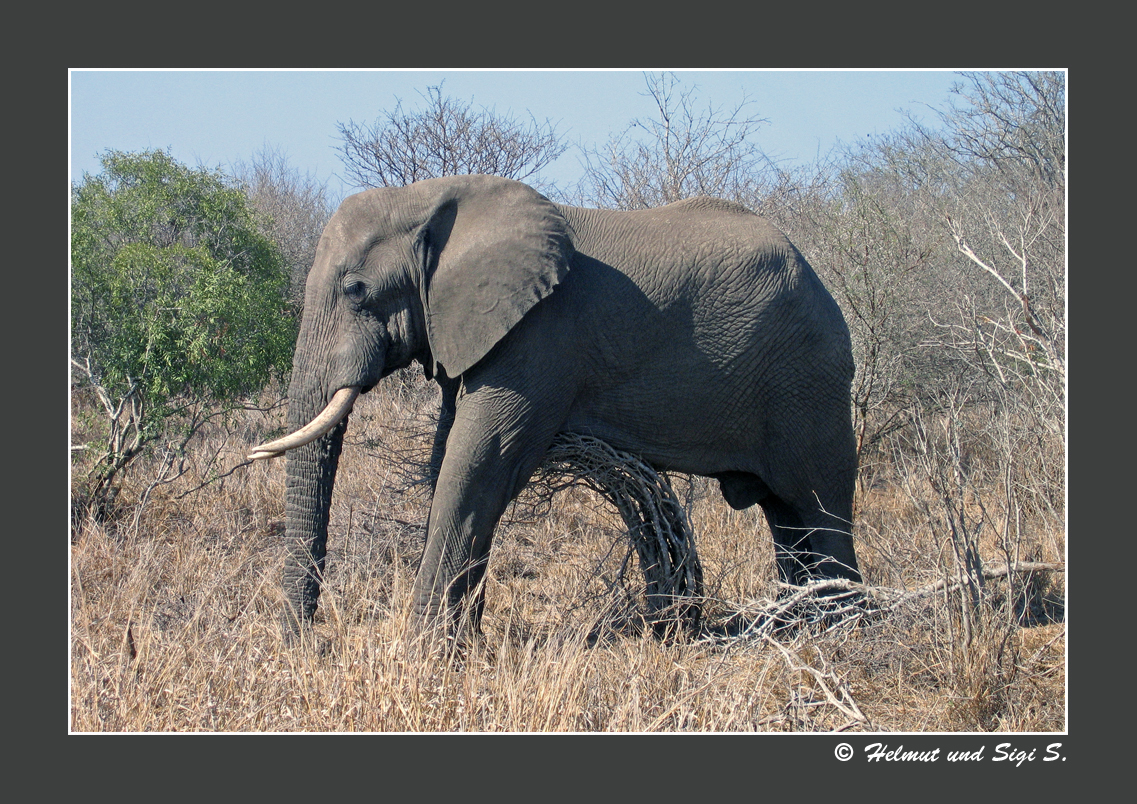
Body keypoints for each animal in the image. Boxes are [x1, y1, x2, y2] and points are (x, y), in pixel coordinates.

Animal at [251, 172, 859, 636]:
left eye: (354, 290)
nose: (306, 643)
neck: (428, 196)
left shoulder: (538, 337)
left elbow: (477, 464)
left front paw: (421, 652)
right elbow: (449, 459)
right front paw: (463, 644)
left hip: (810, 382)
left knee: (819, 506)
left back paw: (843, 632)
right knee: (787, 518)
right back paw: (798, 625)